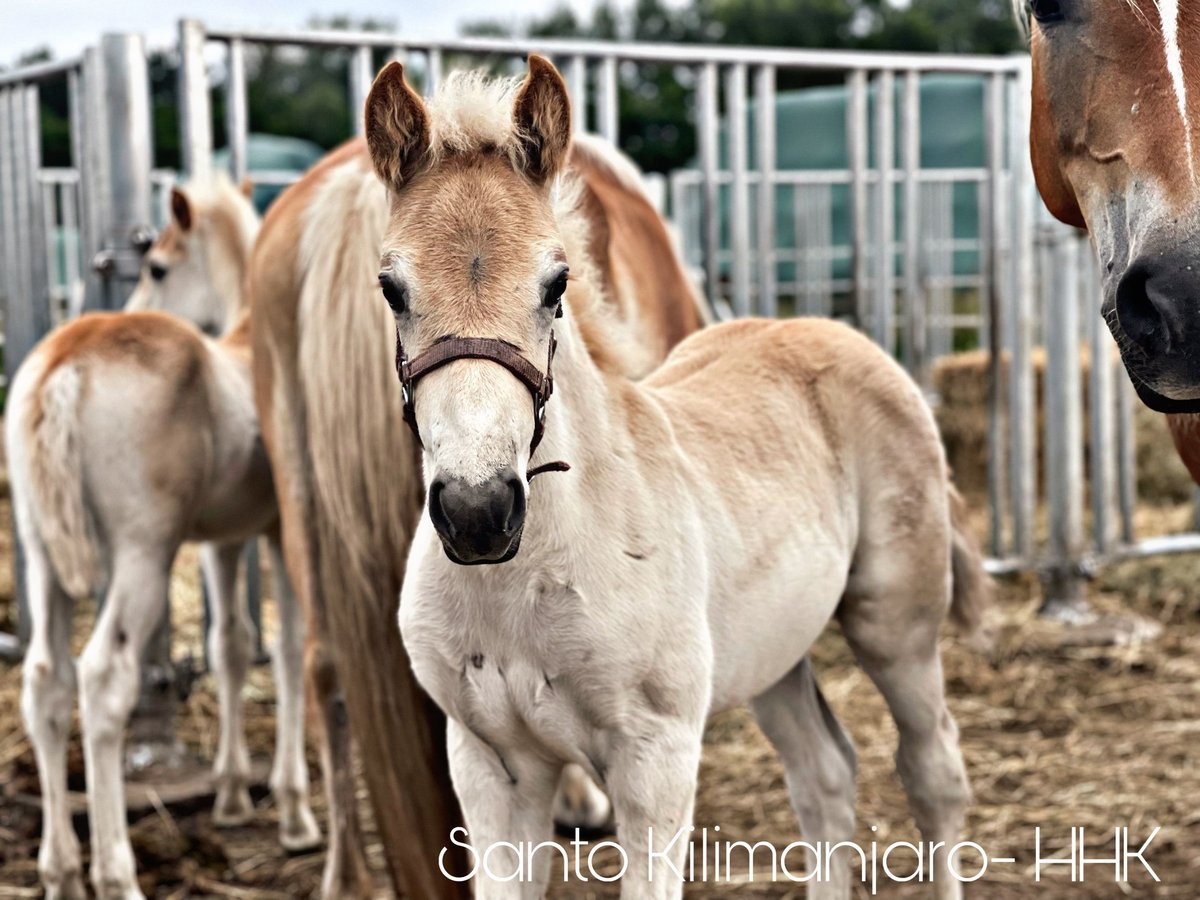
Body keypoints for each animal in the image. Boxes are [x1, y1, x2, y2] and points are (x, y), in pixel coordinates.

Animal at [8, 177, 324, 900]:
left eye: (157, 267)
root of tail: (64, 364)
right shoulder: (279, 529)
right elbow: (287, 648)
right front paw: (295, 814)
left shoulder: (222, 541)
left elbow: (231, 645)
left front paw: (233, 798)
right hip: (142, 555)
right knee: (102, 678)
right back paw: (116, 873)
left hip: (41, 556)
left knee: (45, 681)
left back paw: (61, 871)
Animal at [360, 58, 988, 900]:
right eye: (391, 288)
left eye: (556, 284)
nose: (478, 512)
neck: (529, 579)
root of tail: (836, 333)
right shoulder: (492, 763)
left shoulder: (655, 758)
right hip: (772, 653)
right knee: (825, 774)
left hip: (898, 627)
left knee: (932, 772)